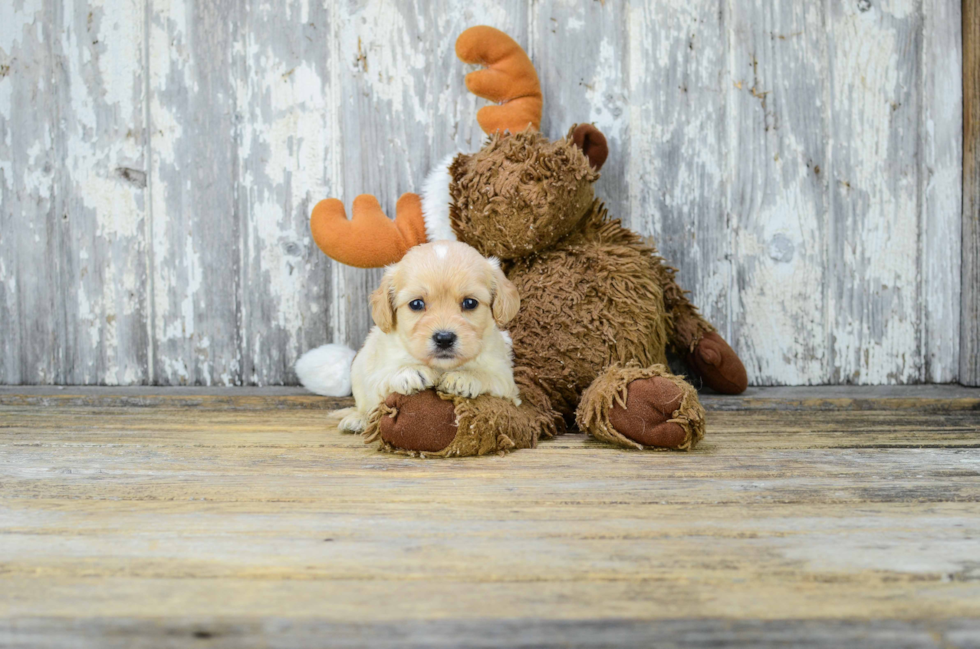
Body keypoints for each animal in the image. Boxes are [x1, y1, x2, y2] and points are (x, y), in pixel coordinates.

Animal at [336, 240, 520, 432]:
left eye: (470, 303)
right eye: (416, 304)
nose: (444, 339)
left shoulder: (506, 380)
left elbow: (491, 377)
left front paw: (465, 377)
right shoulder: (377, 373)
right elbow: (385, 378)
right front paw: (411, 372)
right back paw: (358, 419)